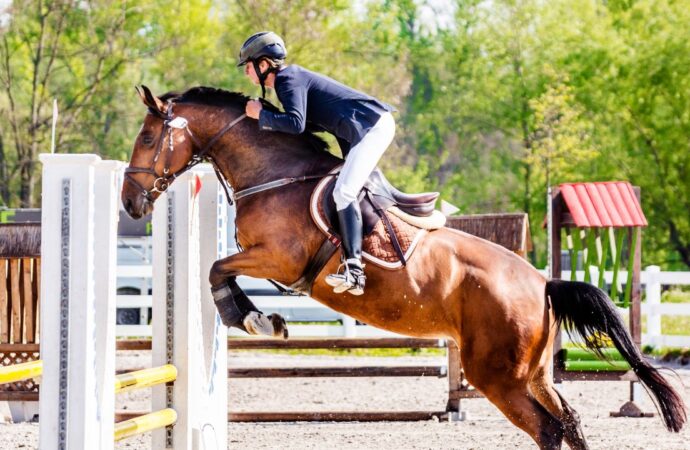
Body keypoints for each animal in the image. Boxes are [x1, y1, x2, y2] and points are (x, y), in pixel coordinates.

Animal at [119, 86, 684, 448]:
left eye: (146, 139)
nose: (129, 203)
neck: (274, 173)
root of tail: (543, 282)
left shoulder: (277, 256)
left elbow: (218, 269)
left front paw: (254, 319)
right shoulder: (268, 260)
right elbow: (222, 270)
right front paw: (263, 318)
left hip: (497, 375)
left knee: (548, 428)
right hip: (533, 372)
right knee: (567, 422)